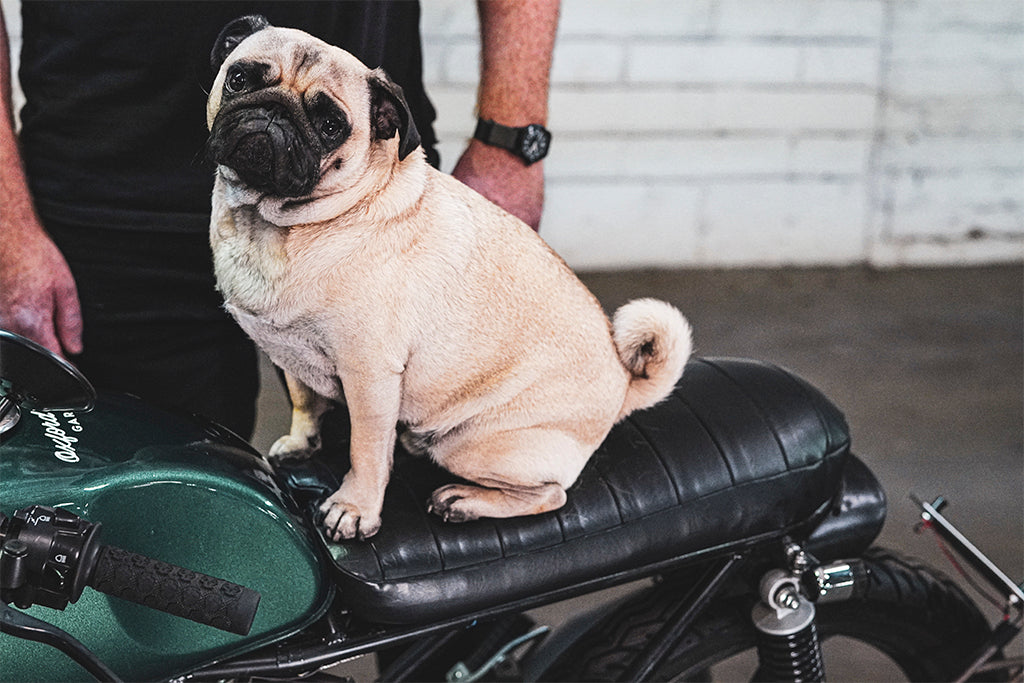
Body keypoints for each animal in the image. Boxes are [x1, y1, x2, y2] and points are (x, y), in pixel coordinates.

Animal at [203, 14, 692, 540]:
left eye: (331, 126)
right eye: (239, 79)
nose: (273, 113)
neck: (273, 224)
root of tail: (624, 387)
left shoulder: (369, 376)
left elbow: (365, 451)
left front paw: (355, 509)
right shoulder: (289, 349)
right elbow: (303, 399)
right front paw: (301, 442)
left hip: (470, 444)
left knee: (551, 495)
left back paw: (464, 501)